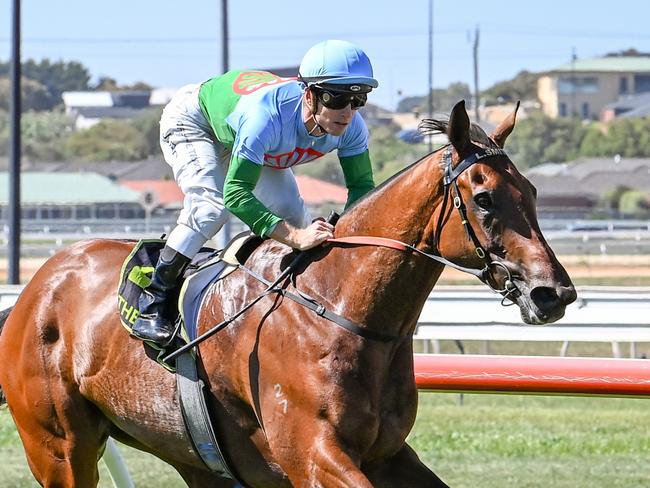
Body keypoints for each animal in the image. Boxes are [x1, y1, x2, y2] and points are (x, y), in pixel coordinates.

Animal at [0, 101, 572, 486]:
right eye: (485, 198)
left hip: (191, 455)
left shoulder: (387, 453)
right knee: (209, 203)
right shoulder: (312, 455)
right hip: (59, 448)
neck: (340, 309)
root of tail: (37, 287)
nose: (554, 294)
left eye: (533, 192)